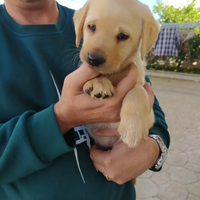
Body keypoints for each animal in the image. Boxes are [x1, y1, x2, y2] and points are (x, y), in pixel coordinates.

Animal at [73, 0, 159, 150]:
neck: (114, 74)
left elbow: (138, 91)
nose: (94, 59)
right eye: (91, 27)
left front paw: (133, 129)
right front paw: (99, 83)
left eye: (123, 36)